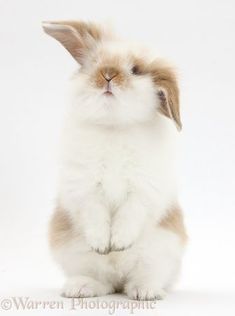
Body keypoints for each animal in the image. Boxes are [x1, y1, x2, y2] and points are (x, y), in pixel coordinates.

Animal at [42, 21, 187, 300]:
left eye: (135, 70)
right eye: (96, 62)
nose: (107, 75)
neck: (114, 126)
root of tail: (120, 279)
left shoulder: (144, 187)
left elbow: (131, 213)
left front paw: (118, 243)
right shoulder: (84, 185)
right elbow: (95, 213)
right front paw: (102, 245)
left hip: (161, 250)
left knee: (145, 277)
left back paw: (145, 291)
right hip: (74, 251)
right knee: (103, 282)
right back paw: (80, 288)